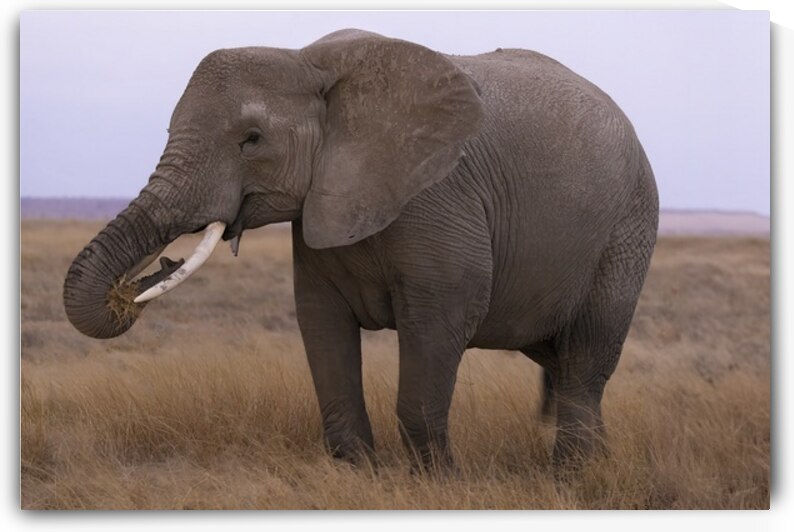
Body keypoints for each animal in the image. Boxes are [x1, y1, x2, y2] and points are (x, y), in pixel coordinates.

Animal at [63, 29, 658, 470]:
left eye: (251, 139)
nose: (143, 278)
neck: (305, 60)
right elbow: (320, 323)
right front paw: (361, 470)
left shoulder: (438, 195)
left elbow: (441, 320)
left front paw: (438, 482)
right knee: (560, 358)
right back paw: (597, 465)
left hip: (628, 227)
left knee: (585, 358)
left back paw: (572, 477)